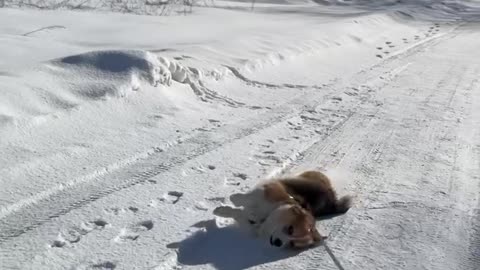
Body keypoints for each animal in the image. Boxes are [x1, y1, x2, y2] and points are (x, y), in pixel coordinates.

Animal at [214, 171, 352, 249]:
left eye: (292, 243)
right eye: (291, 229)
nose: (278, 243)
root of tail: (332, 200)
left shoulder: (249, 223)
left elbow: (238, 213)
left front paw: (221, 210)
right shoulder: (268, 191)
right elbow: (243, 199)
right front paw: (234, 199)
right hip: (297, 179)